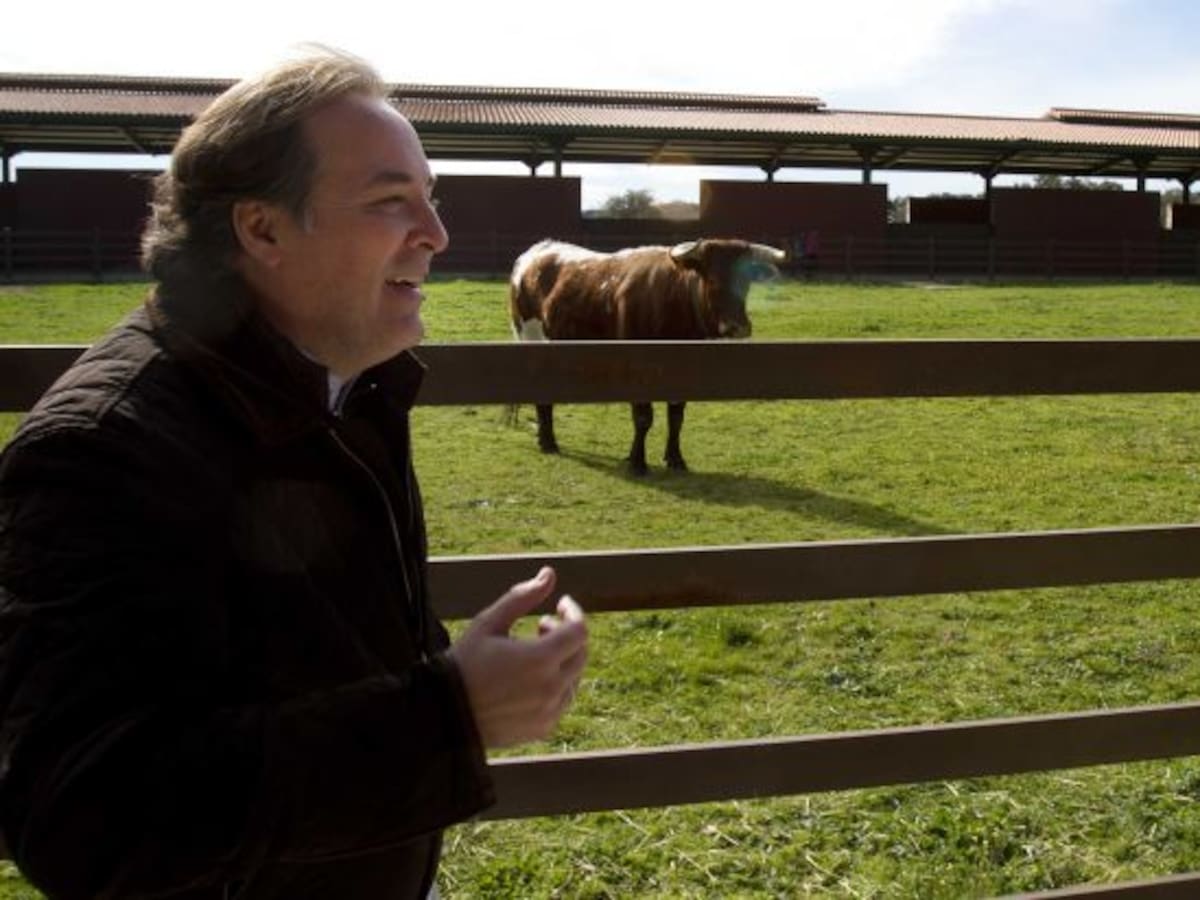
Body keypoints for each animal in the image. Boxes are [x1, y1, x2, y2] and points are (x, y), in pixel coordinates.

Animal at [509, 238, 786, 474]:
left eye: (747, 281)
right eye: (711, 278)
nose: (737, 327)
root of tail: (536, 252)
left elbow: (676, 417)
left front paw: (675, 459)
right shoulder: (637, 369)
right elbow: (643, 418)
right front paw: (637, 462)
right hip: (532, 343)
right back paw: (548, 442)